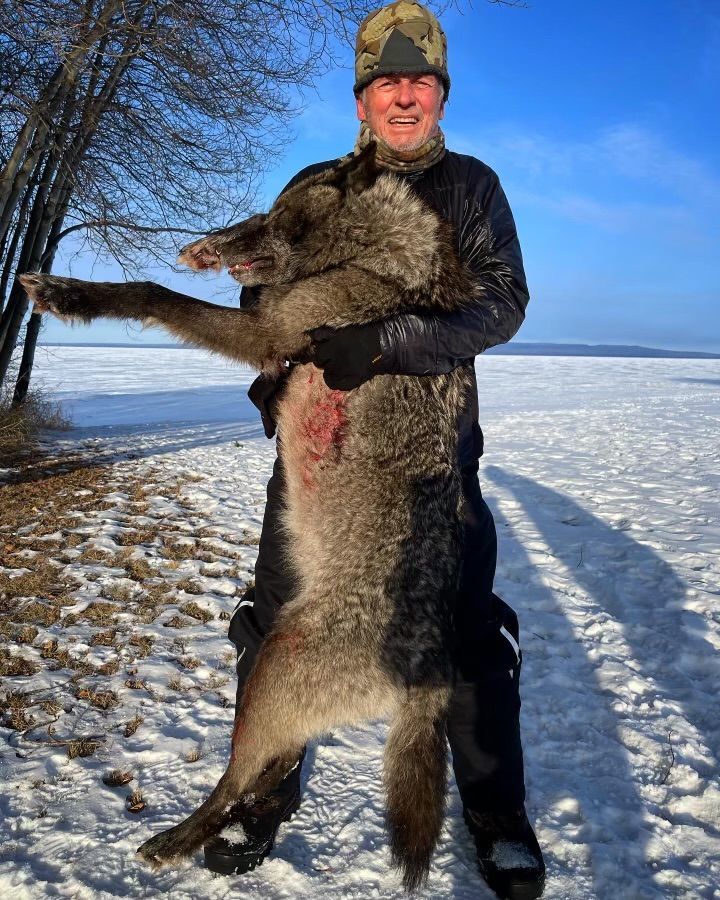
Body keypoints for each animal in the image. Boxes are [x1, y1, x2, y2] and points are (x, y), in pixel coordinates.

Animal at [20, 144, 479, 890]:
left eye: (275, 211)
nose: (203, 245)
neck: (379, 259)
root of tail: (428, 675)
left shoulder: (270, 331)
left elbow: (151, 293)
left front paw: (69, 294)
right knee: (272, 767)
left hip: (273, 669)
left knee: (237, 780)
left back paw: (174, 842)